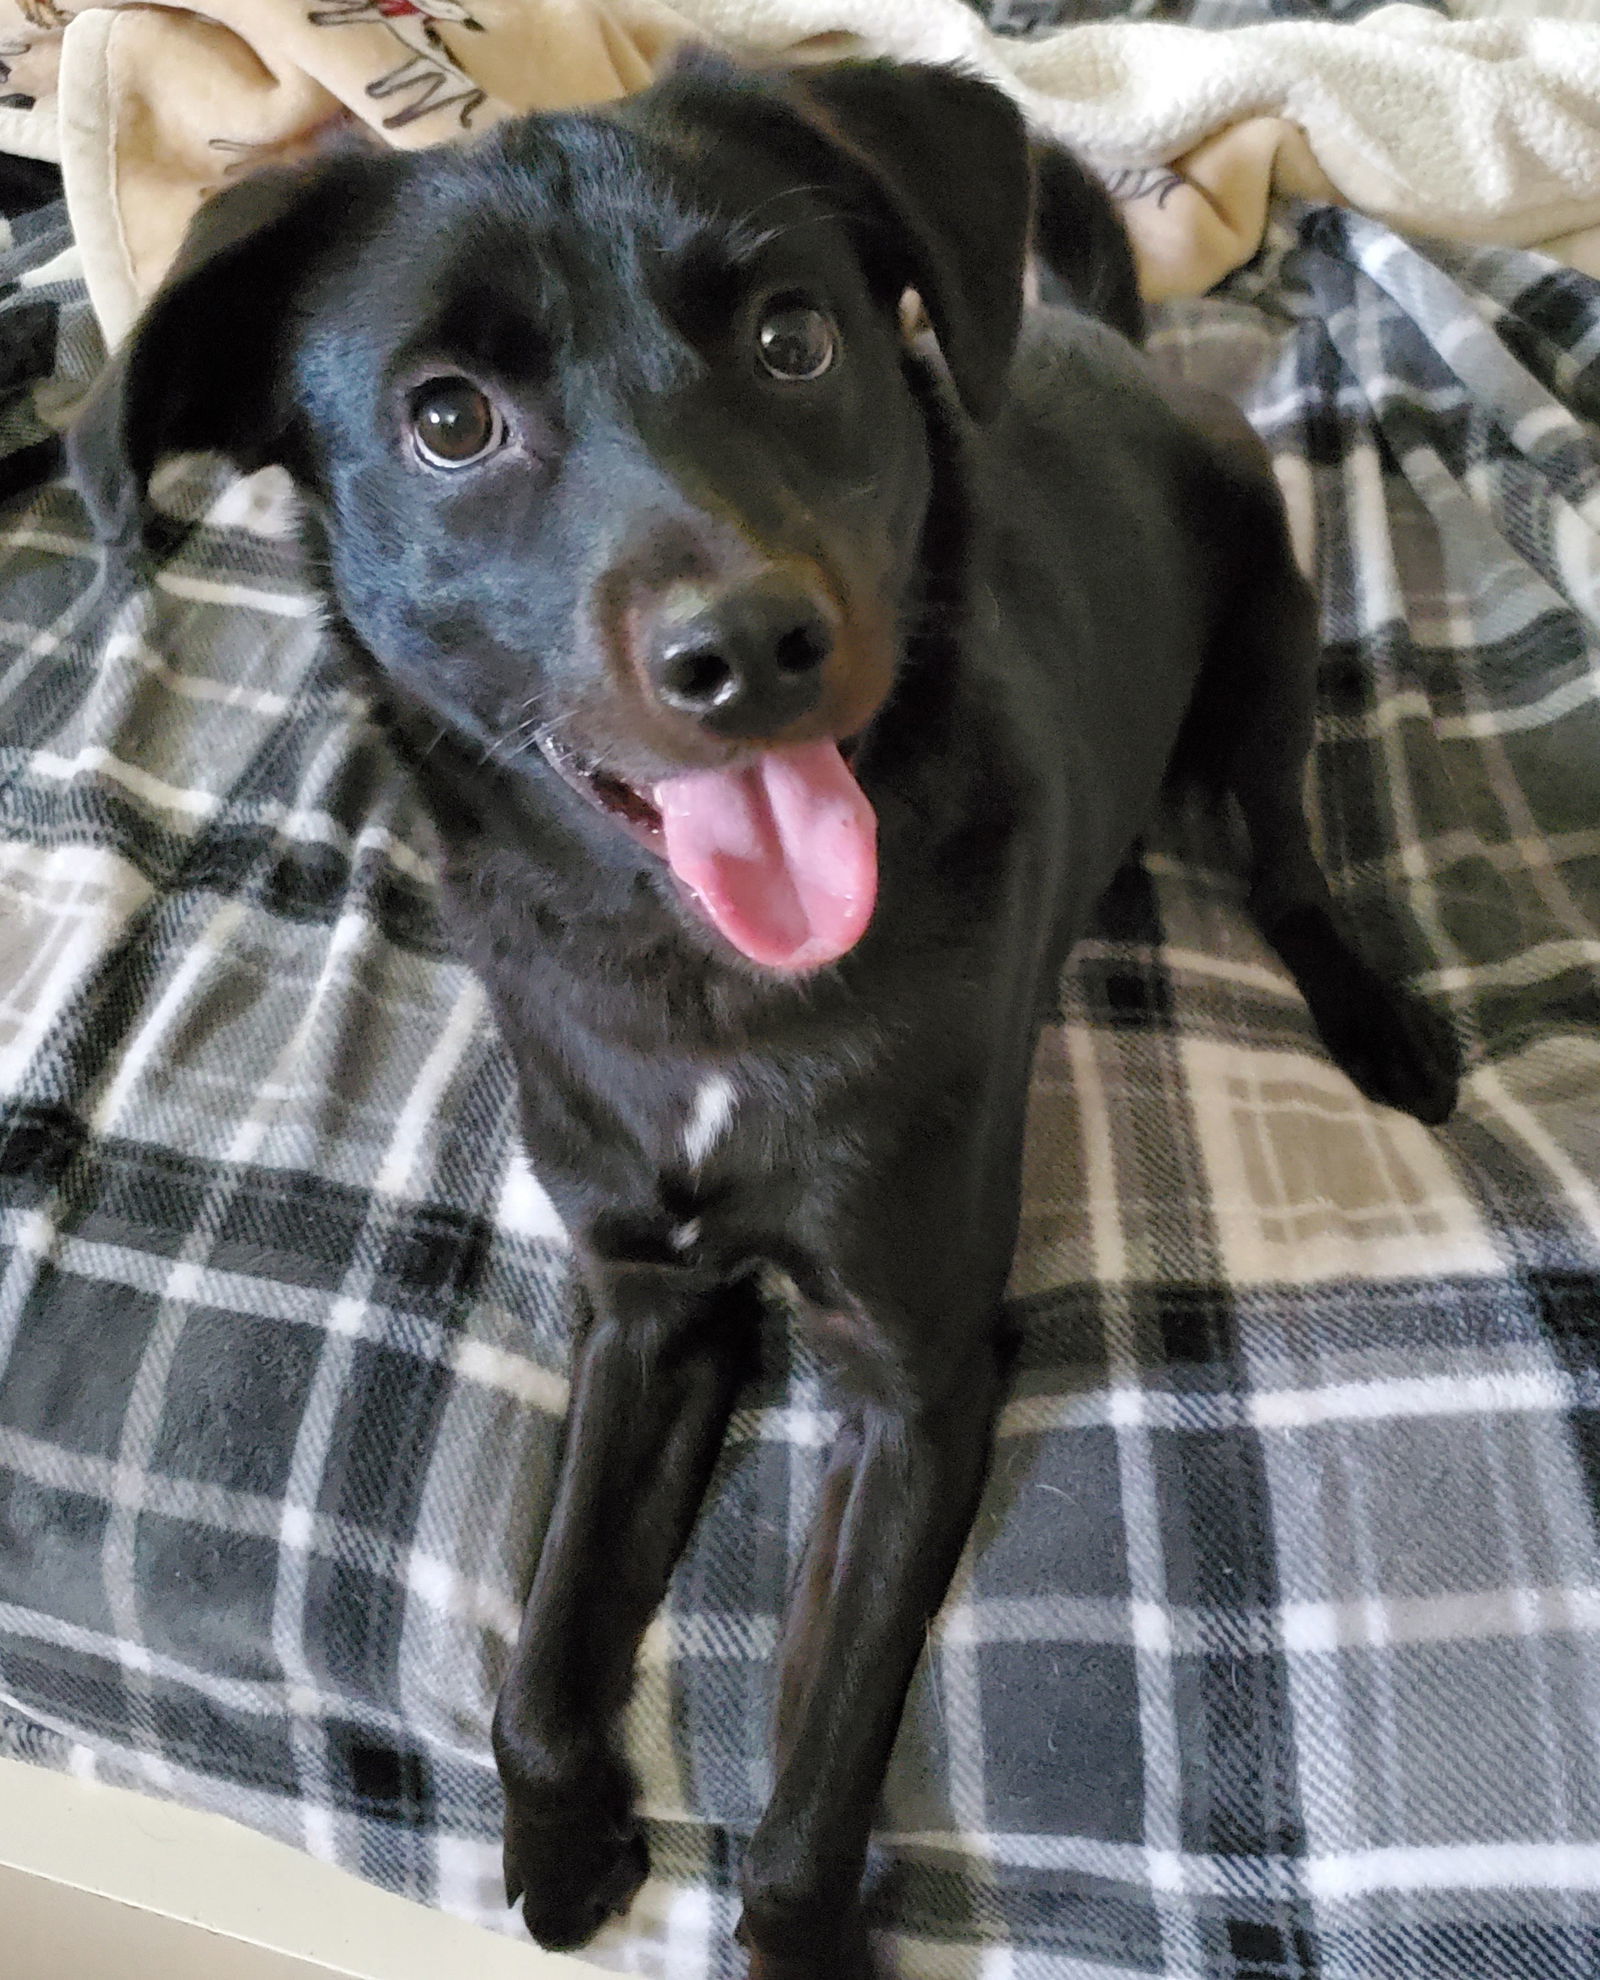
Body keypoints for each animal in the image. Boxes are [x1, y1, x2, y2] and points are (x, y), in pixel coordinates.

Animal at [68, 50, 1457, 1980]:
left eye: (796, 339)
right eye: (448, 422)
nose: (748, 647)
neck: (706, 983)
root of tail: (1108, 342)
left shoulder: (915, 1380)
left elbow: (822, 1746)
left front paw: (792, 1936)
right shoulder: (648, 1313)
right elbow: (538, 1655)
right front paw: (561, 1828)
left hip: (1266, 650)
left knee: (1291, 856)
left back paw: (1377, 1012)